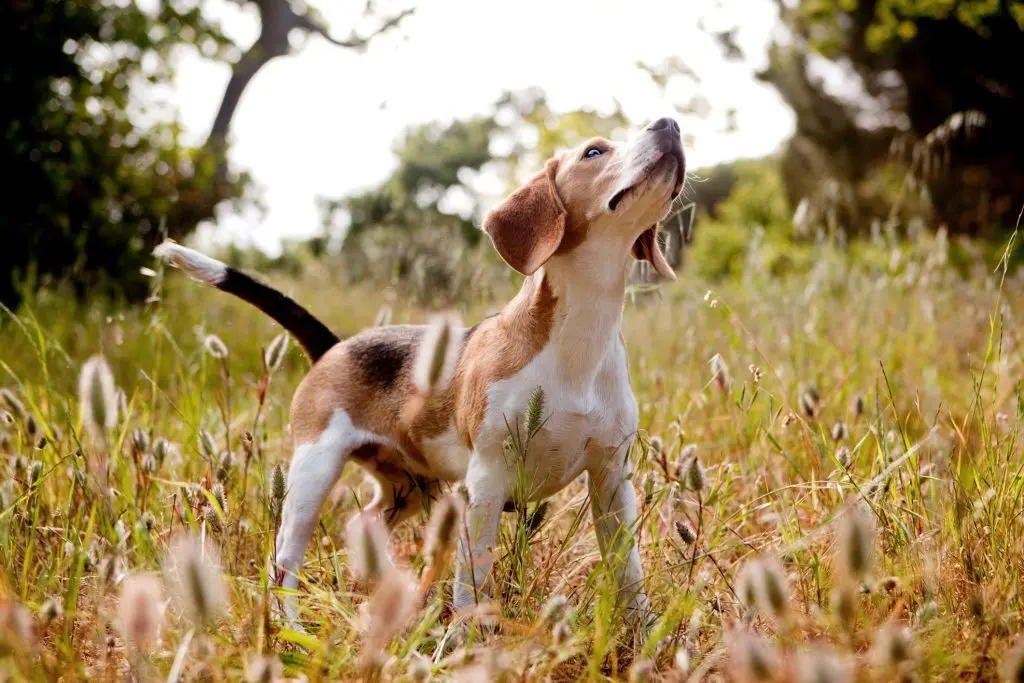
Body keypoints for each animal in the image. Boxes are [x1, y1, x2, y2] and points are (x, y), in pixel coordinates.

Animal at [153, 117, 688, 634]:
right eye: (594, 152)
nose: (670, 123)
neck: (583, 332)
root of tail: (334, 345)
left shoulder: (611, 479)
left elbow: (628, 571)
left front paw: (644, 634)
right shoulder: (487, 481)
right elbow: (472, 579)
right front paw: (469, 639)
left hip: (408, 487)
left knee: (361, 526)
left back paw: (398, 594)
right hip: (312, 472)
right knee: (284, 559)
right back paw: (292, 625)